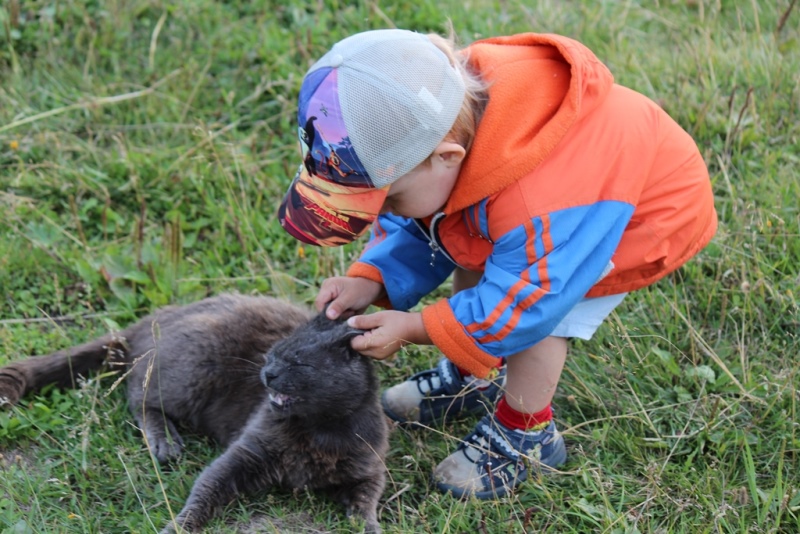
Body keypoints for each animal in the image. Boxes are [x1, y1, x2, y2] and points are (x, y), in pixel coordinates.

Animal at [0, 296, 388, 532]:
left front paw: (368, 525)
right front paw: (179, 526)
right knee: (140, 398)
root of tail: (153, 318)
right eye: (272, 354)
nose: (268, 373)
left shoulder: (369, 468)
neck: (321, 430)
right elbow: (207, 487)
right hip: (192, 368)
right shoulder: (246, 453)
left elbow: (367, 499)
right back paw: (166, 443)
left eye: (298, 363)